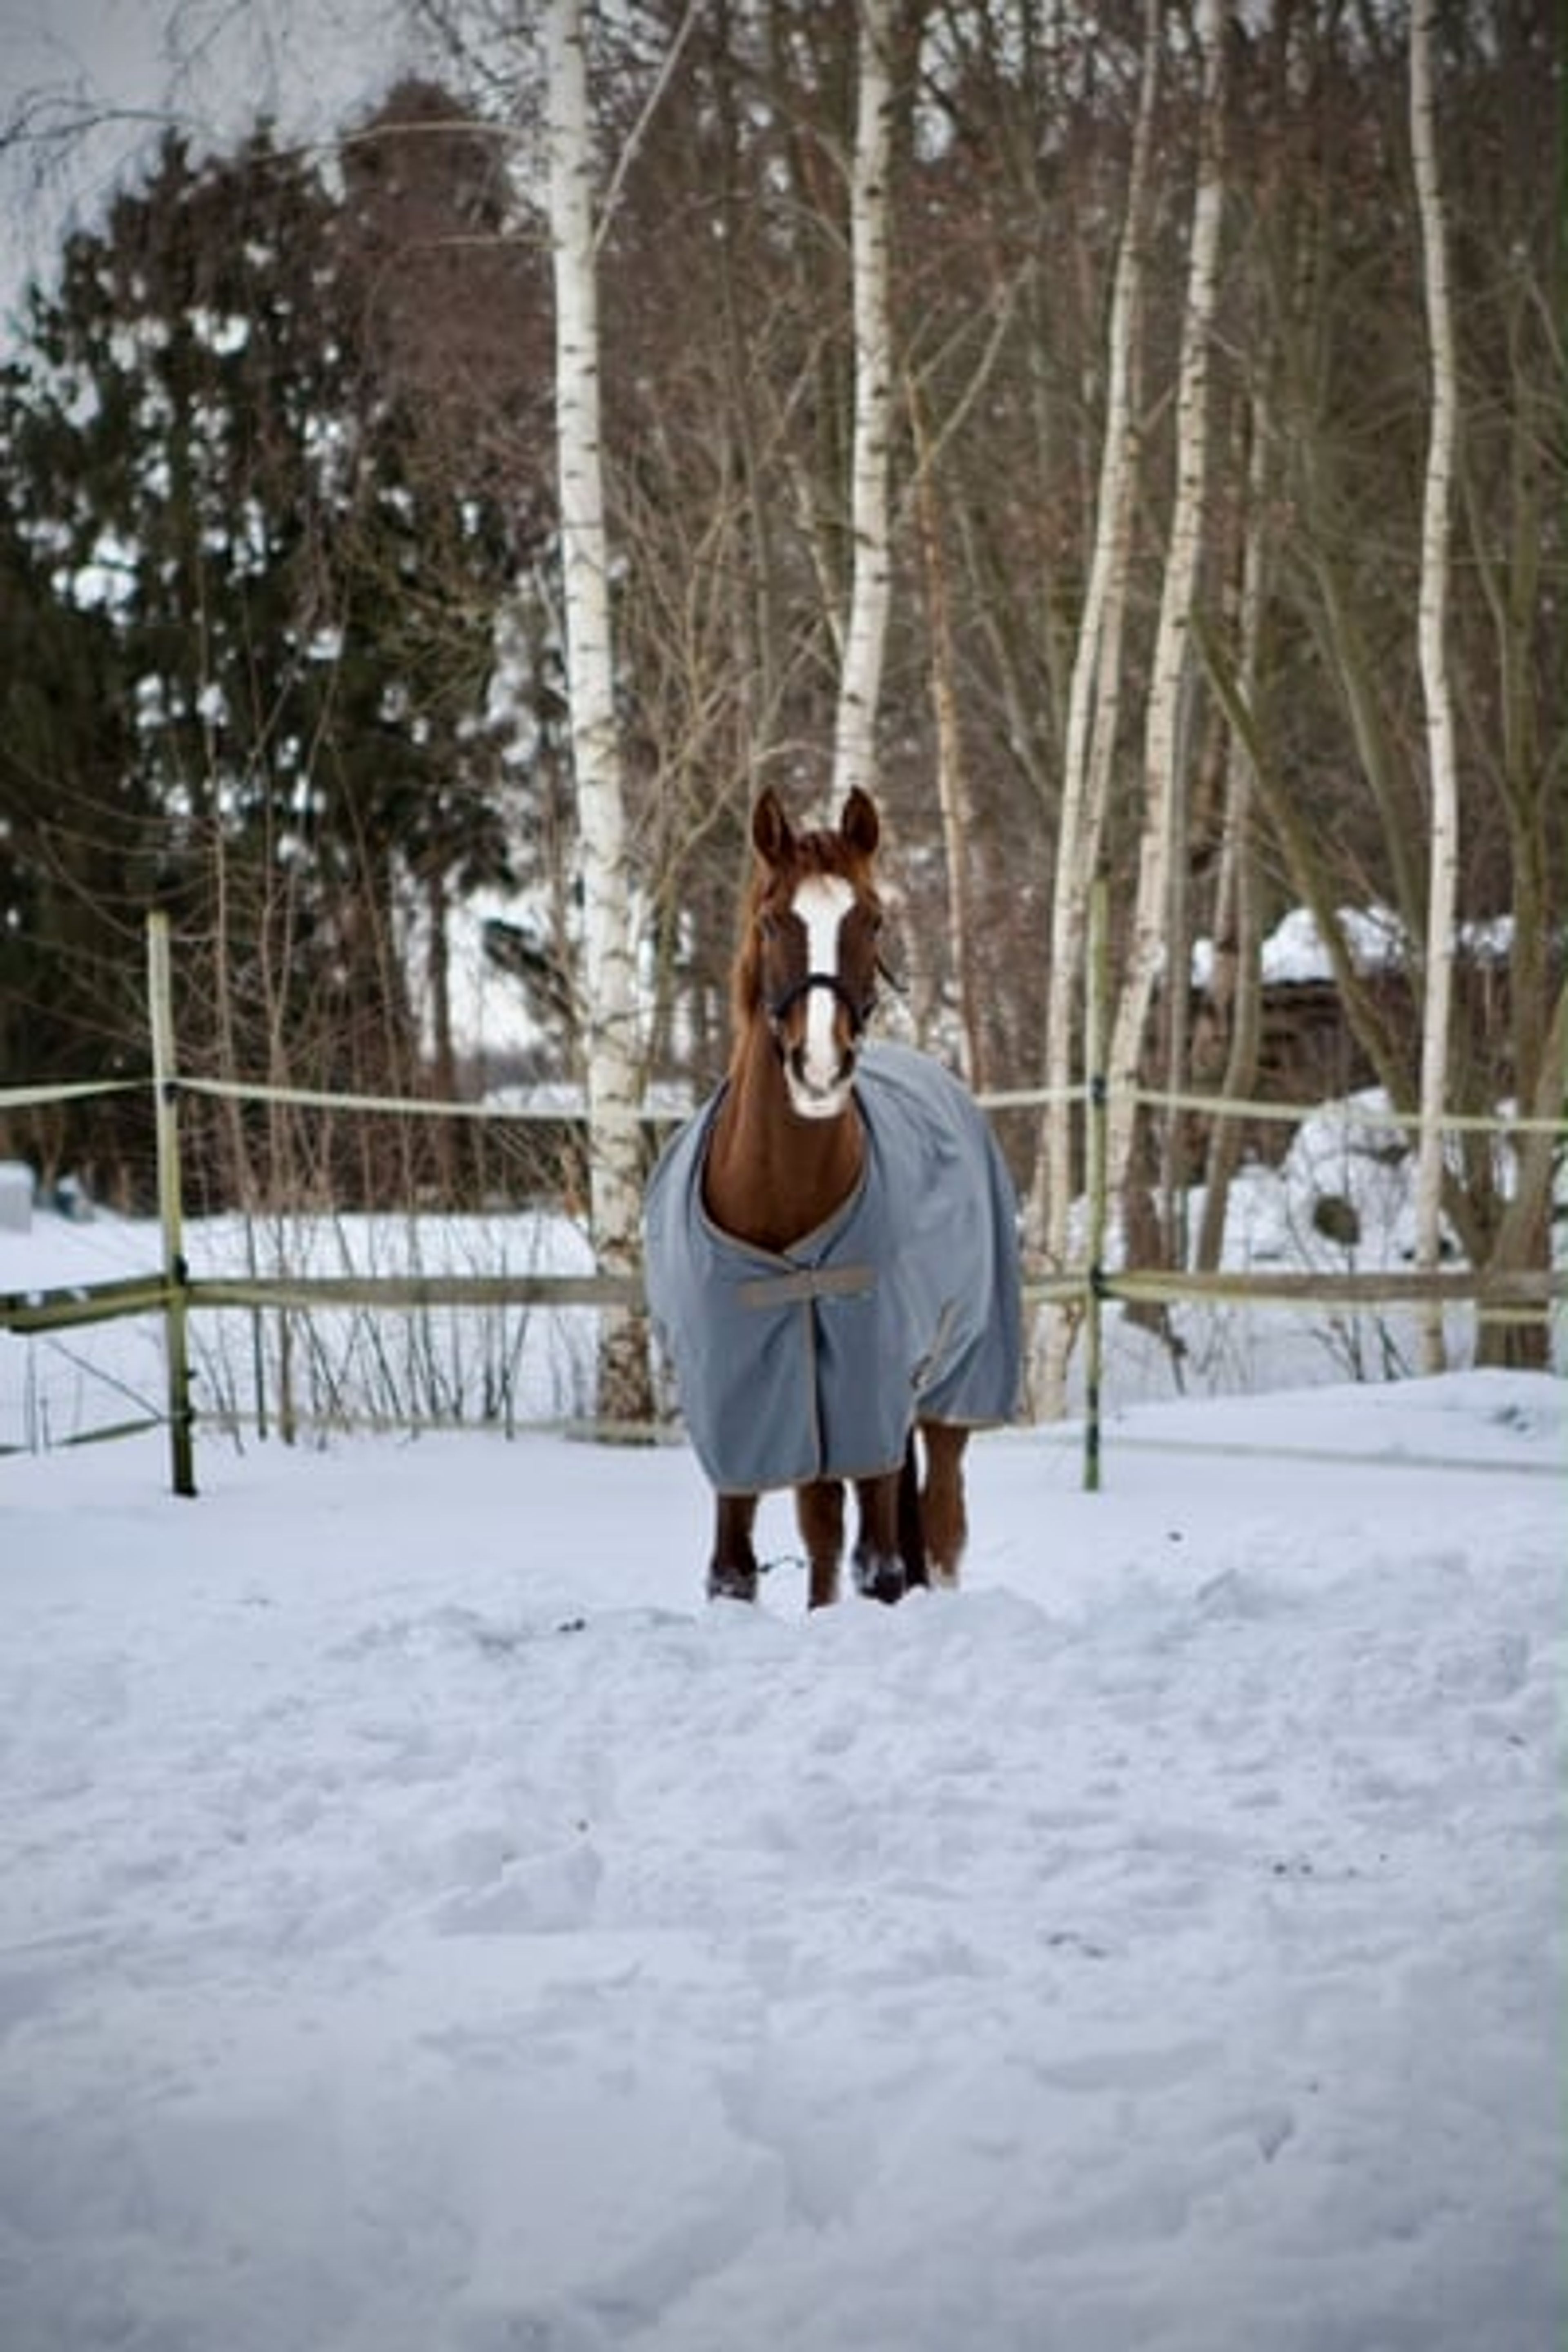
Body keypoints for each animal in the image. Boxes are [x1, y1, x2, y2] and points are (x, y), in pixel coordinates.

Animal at [643, 785, 1023, 1609]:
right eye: (770, 920)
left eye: (872, 918)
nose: (819, 1067)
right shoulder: (743, 1406)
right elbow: (734, 1570)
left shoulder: (870, 1389)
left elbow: (882, 1564)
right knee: (824, 1533)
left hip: (949, 1386)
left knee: (939, 1526)